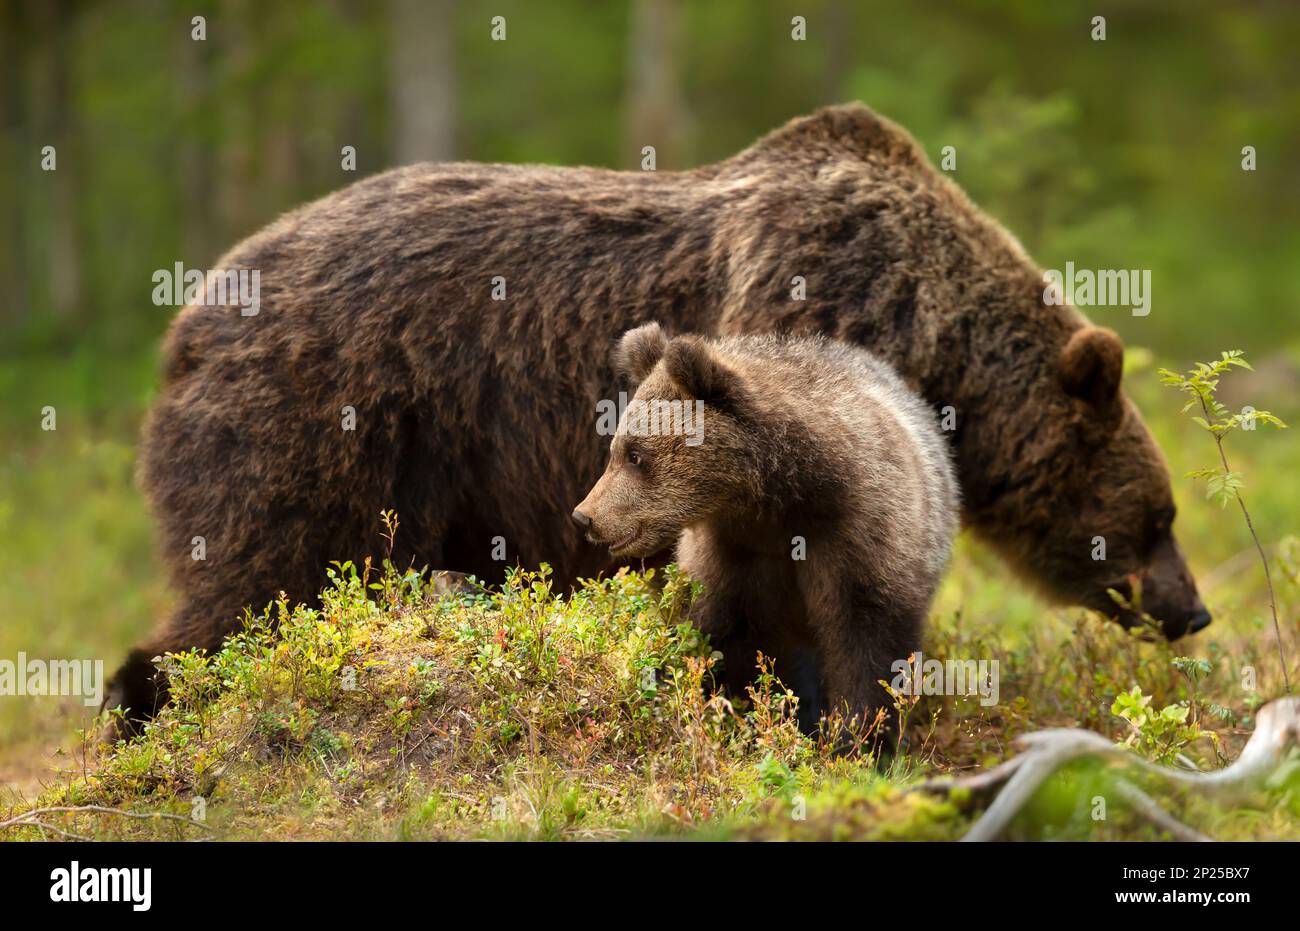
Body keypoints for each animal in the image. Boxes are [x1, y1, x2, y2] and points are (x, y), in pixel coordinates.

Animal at [106, 105, 1211, 733]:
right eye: (1158, 515)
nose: (1192, 608)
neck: (935, 338)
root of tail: (190, 312)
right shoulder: (807, 301)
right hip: (326, 424)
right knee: (258, 581)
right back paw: (146, 710)